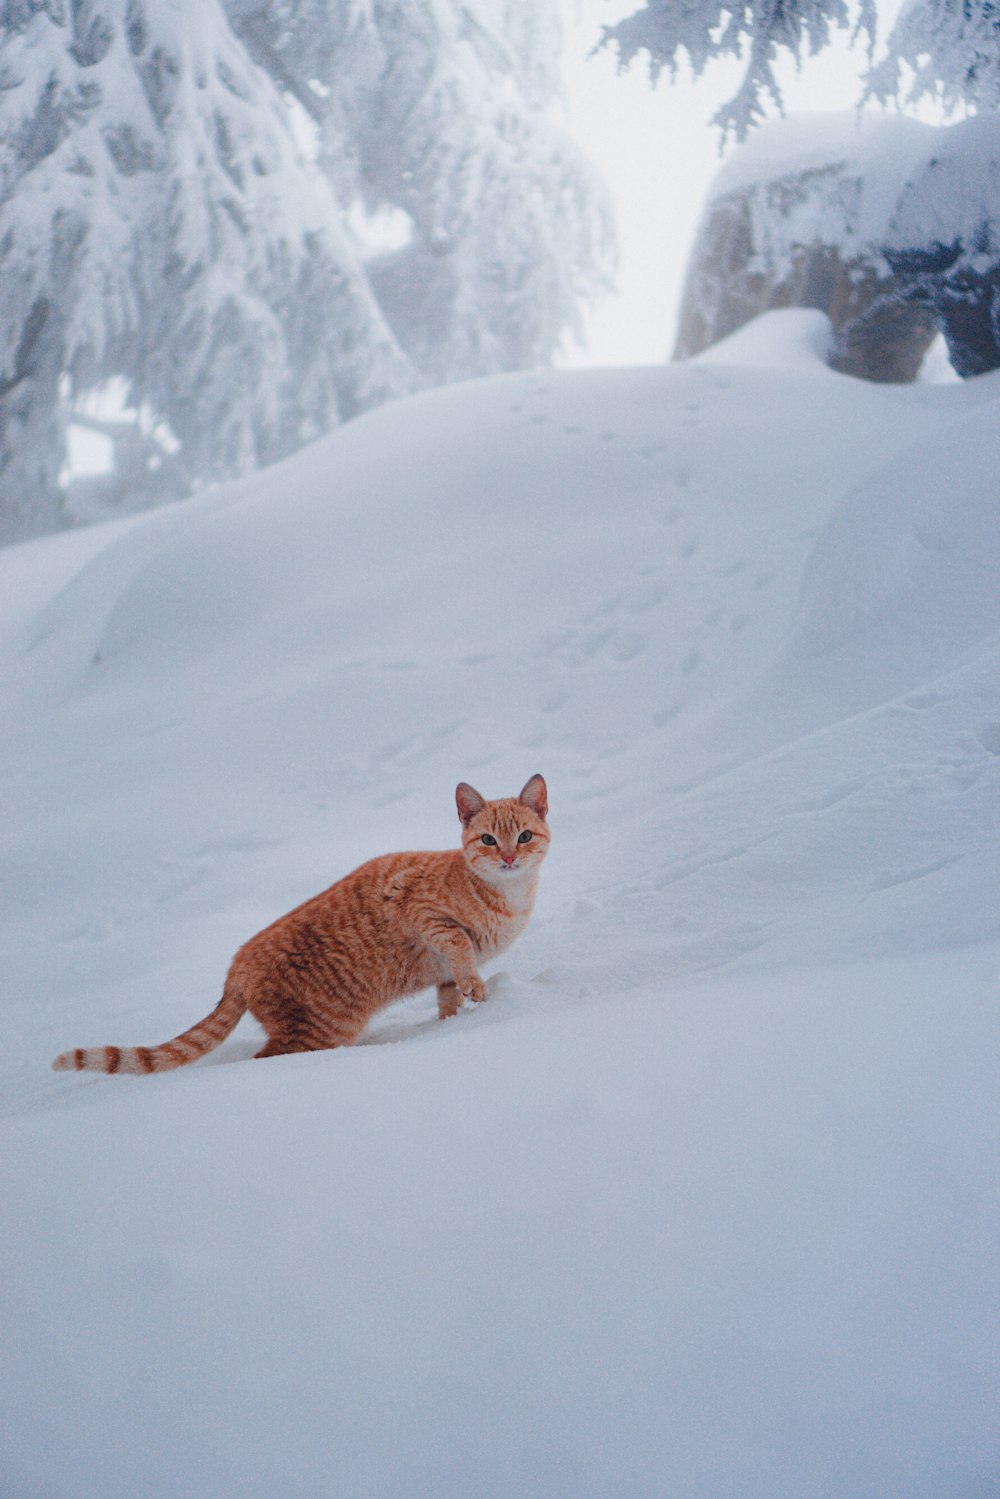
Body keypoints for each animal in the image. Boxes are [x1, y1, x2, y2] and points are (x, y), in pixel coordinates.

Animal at [51, 779, 551, 1073]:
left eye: (524, 836)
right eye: (488, 839)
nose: (509, 858)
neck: (510, 898)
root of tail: (235, 969)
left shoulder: (441, 973)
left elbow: (449, 997)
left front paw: (452, 1024)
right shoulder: (421, 910)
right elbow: (460, 944)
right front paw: (477, 987)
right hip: (321, 1030)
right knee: (264, 1060)